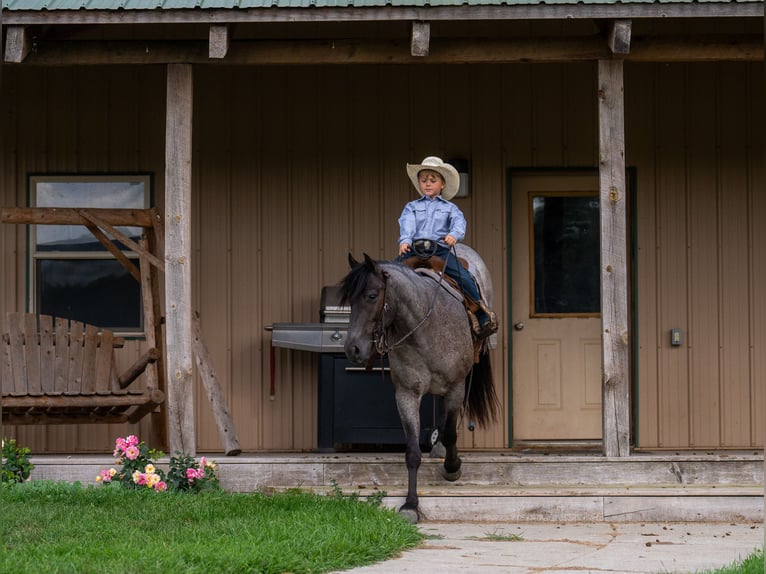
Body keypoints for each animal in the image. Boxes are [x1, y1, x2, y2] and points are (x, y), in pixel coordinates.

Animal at [339, 244, 499, 523]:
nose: (353, 349)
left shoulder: (455, 386)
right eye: (349, 300)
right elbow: (412, 452)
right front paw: (411, 505)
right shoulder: (407, 393)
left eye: (371, 295)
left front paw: (452, 467)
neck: (425, 327)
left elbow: (451, 431)